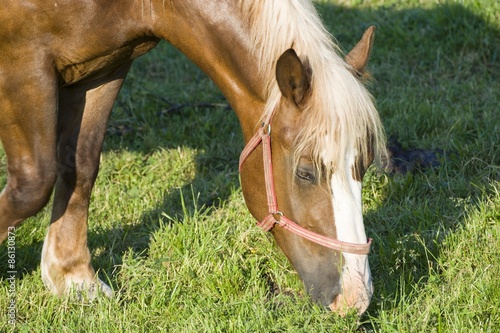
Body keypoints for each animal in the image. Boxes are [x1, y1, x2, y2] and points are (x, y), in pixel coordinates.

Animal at [0, 0, 382, 314]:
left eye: (363, 167)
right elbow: (32, 187)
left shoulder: (103, 67)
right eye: (305, 173)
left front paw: (75, 279)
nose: (355, 298)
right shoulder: (23, 65)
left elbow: (80, 165)